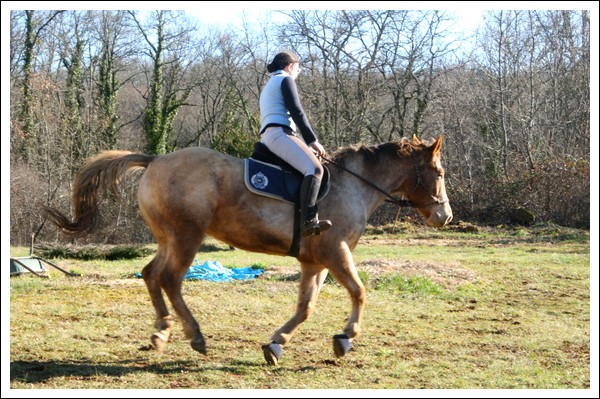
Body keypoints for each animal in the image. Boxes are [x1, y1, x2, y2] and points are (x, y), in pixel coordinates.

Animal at [45, 134, 450, 366]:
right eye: (440, 173)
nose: (444, 216)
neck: (353, 185)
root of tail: (156, 159)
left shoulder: (314, 261)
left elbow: (305, 307)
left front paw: (277, 344)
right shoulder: (336, 252)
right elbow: (359, 291)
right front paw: (346, 337)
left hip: (168, 238)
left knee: (151, 274)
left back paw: (162, 331)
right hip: (187, 237)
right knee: (170, 279)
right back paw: (194, 336)